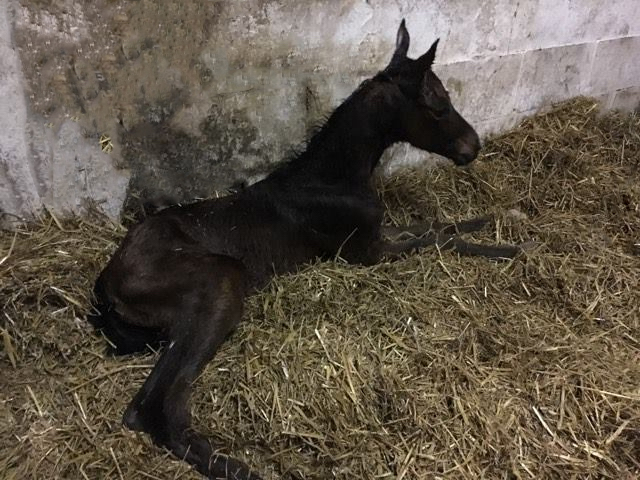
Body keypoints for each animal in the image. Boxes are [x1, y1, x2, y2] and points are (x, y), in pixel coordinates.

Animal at [89, 19, 520, 480]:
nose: (473, 146)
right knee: (153, 407)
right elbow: (438, 239)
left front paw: (501, 217)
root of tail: (107, 281)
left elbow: (437, 226)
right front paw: (513, 248)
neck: (332, 177)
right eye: (437, 104)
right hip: (220, 281)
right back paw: (236, 466)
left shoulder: (376, 233)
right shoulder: (365, 253)